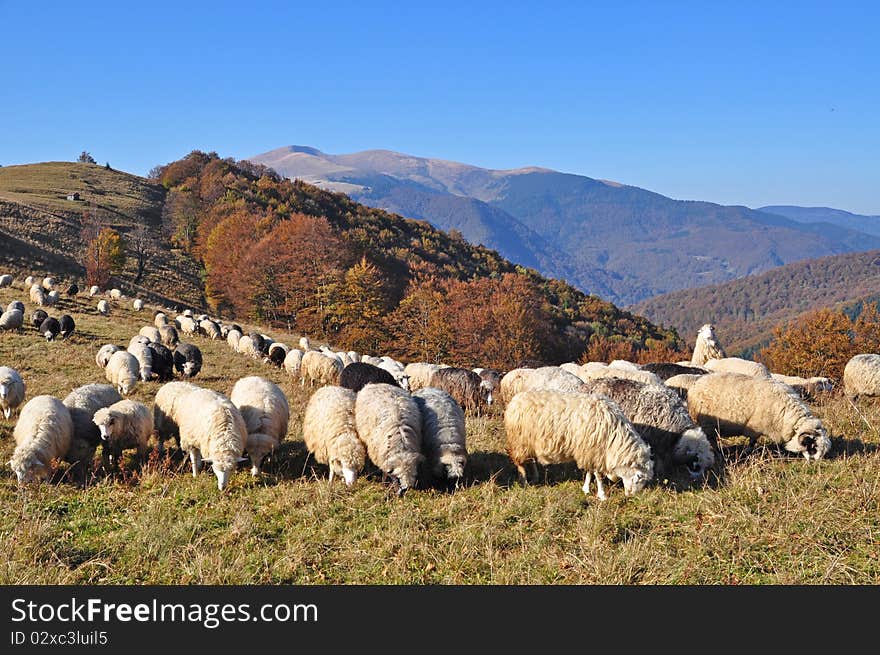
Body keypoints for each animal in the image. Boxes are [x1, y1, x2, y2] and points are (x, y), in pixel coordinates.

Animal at [502, 390, 652, 502]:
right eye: (638, 479)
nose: (632, 497)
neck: (614, 435)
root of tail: (515, 400)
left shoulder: (589, 451)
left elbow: (589, 472)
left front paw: (586, 489)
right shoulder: (595, 450)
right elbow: (598, 475)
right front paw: (602, 495)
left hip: (529, 443)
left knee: (531, 459)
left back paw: (535, 477)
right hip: (519, 441)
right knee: (520, 463)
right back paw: (524, 482)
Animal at [688, 374, 832, 462]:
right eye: (813, 447)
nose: (816, 463)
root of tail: (695, 386)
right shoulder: (756, 427)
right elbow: (752, 441)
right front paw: (747, 451)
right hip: (707, 424)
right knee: (711, 440)